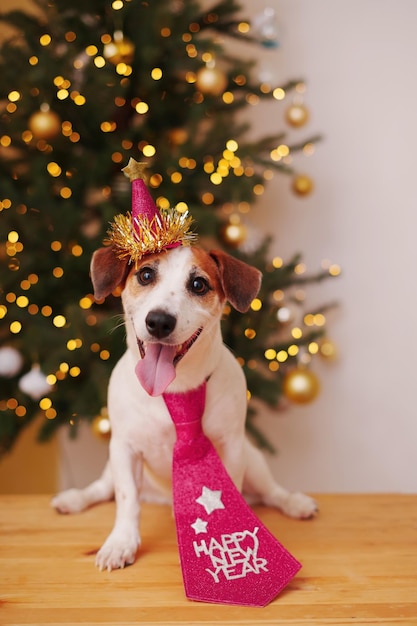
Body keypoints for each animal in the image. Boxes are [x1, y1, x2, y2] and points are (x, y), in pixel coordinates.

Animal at [53, 244, 316, 572]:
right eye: (145, 274)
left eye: (198, 284)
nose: (159, 321)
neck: (174, 388)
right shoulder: (124, 448)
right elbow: (127, 500)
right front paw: (121, 543)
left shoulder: (231, 446)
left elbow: (228, 492)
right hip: (112, 465)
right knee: (103, 488)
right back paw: (74, 499)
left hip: (253, 461)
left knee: (272, 492)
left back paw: (295, 503)